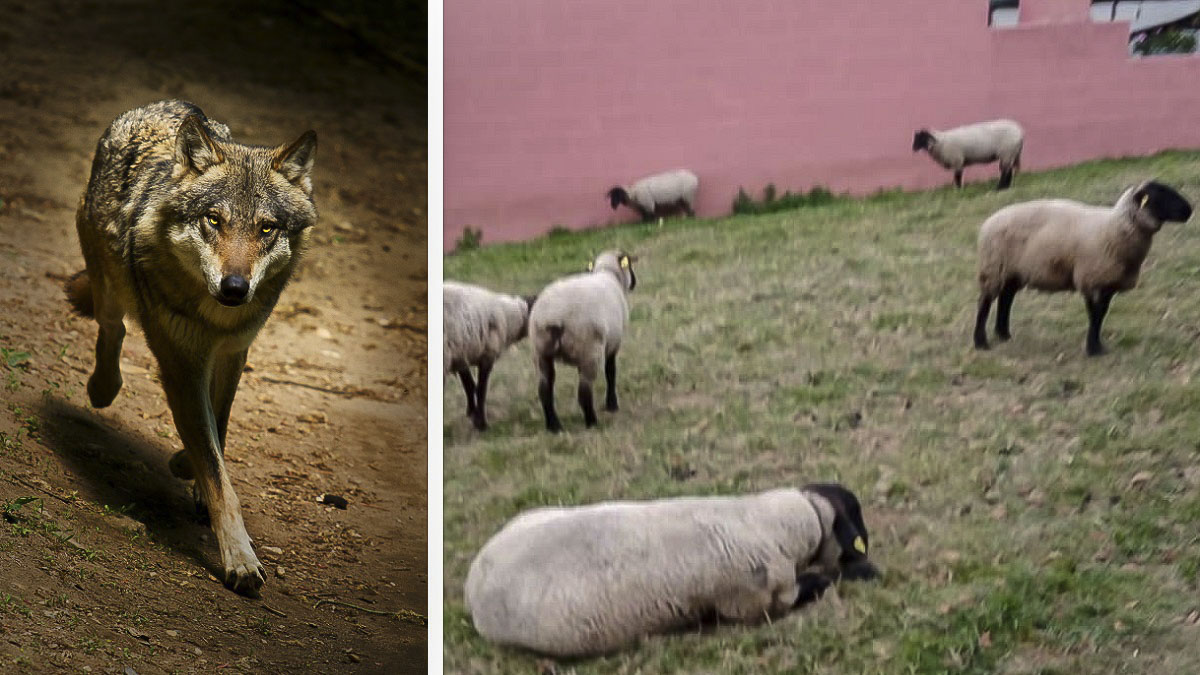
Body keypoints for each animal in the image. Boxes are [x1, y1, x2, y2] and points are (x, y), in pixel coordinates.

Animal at [66, 99, 319, 593]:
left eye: (266, 229)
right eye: (214, 220)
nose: (235, 287)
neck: (215, 317)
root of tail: (165, 105)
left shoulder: (233, 351)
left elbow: (217, 428)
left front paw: (189, 468)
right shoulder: (183, 365)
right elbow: (218, 472)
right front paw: (240, 558)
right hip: (109, 289)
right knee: (113, 329)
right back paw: (101, 389)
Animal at [444, 279, 532, 427]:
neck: (508, 316)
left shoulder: (461, 355)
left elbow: (469, 386)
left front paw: (472, 413)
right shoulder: (487, 355)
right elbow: (481, 390)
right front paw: (481, 423)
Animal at [528, 248, 638, 429]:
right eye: (629, 263)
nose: (634, 282)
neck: (608, 274)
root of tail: (553, 315)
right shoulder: (613, 343)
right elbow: (611, 372)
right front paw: (612, 405)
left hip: (541, 352)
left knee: (544, 390)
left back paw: (554, 426)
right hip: (588, 349)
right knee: (584, 392)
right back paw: (592, 422)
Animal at [974, 178, 1190, 357]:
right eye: (1160, 195)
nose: (1189, 210)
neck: (1116, 227)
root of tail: (988, 222)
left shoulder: (1107, 283)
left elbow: (1102, 313)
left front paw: (1097, 346)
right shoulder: (1090, 278)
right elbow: (1095, 314)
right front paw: (1093, 349)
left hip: (1012, 271)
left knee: (1006, 298)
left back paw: (1004, 335)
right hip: (993, 268)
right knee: (985, 302)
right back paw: (981, 342)